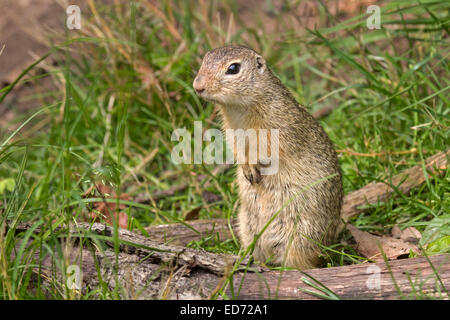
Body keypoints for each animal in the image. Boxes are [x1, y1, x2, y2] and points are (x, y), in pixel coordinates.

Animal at [192, 45, 342, 270]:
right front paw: (246, 170)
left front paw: (254, 166)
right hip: (247, 226)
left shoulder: (278, 128)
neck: (238, 109)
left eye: (233, 68)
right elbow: (238, 152)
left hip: (301, 236)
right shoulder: (232, 134)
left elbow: (268, 150)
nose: (197, 86)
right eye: (205, 60)